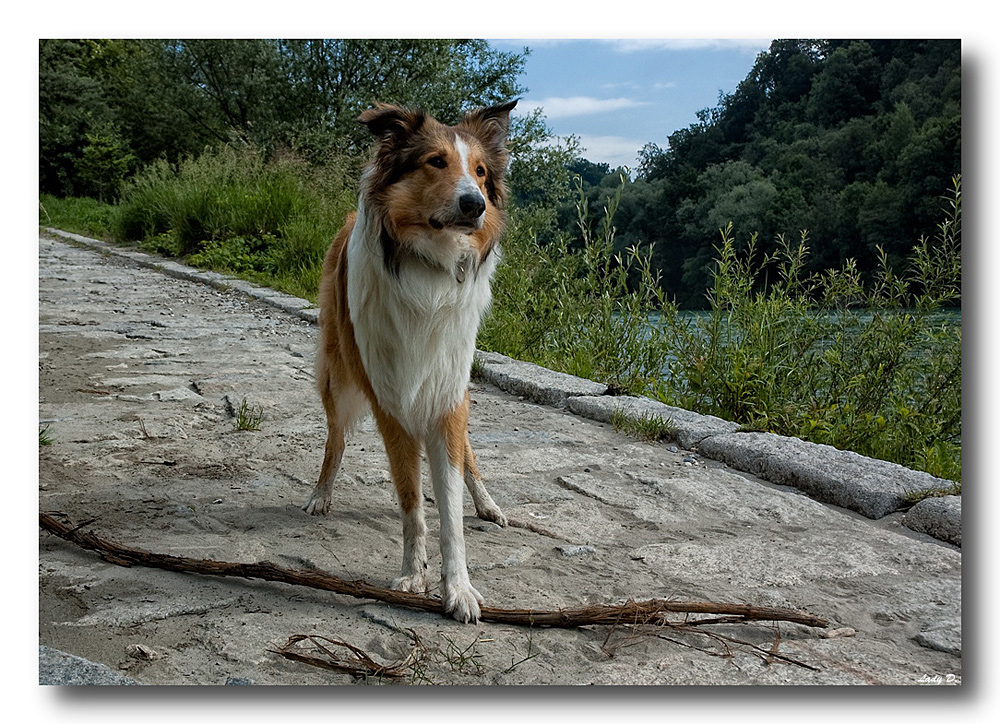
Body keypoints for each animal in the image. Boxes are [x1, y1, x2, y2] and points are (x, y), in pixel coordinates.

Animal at [304, 100, 516, 624]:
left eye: (481, 172)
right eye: (435, 162)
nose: (475, 205)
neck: (430, 272)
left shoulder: (447, 391)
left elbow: (450, 508)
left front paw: (458, 587)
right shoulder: (391, 400)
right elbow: (410, 503)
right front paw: (412, 574)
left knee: (468, 455)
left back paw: (487, 503)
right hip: (338, 376)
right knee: (335, 439)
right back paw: (321, 493)